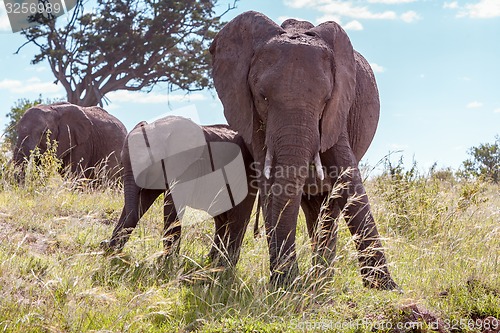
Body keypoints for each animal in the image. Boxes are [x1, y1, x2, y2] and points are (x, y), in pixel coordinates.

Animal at [101, 115, 258, 266]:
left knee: (238, 218)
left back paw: (225, 266)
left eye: (147, 164)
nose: (104, 243)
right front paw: (112, 251)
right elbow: (143, 200)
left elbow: (171, 205)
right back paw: (212, 261)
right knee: (222, 218)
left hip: (246, 174)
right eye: (122, 163)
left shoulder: (187, 166)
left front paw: (166, 263)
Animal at [210, 11, 398, 288]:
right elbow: (270, 185)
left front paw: (385, 289)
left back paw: (322, 282)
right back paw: (317, 281)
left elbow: (348, 178)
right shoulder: (253, 118)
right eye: (263, 97)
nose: (286, 279)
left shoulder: (338, 112)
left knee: (327, 209)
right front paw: (284, 285)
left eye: (325, 99)